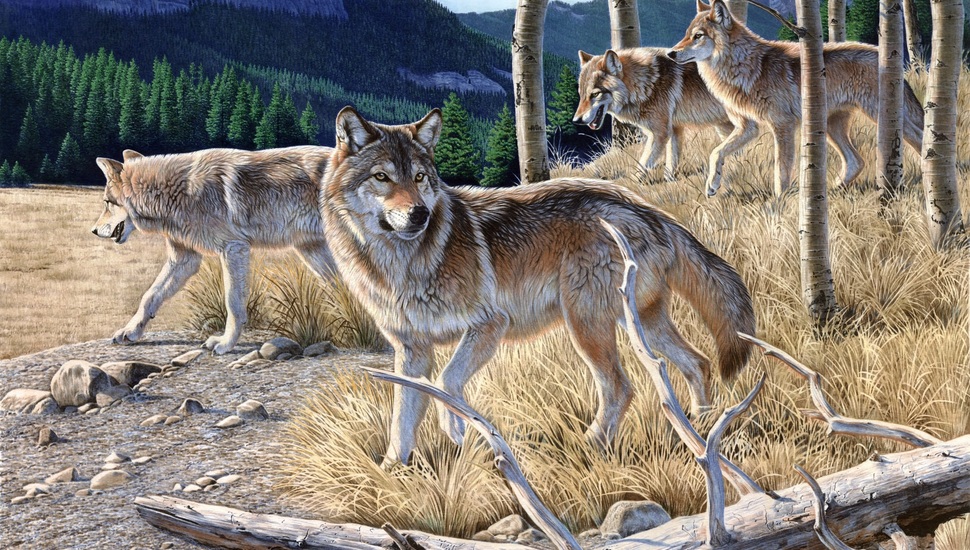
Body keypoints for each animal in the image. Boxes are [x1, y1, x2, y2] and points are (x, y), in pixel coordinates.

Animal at [91, 146, 335, 354]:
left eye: (106, 202)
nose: (93, 230)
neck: (180, 192)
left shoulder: (234, 249)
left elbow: (233, 303)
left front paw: (226, 344)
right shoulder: (184, 259)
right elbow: (150, 296)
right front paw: (131, 331)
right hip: (311, 251)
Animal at [321, 107, 756, 466]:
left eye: (419, 177)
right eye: (382, 177)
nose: (420, 214)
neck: (401, 264)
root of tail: (647, 208)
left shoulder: (489, 325)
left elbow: (446, 382)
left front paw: (456, 430)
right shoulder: (412, 351)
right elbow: (402, 419)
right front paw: (392, 469)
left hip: (587, 326)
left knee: (622, 387)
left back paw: (592, 445)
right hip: (641, 323)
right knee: (697, 362)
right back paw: (700, 431)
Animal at [573, 47, 737, 178]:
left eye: (595, 94)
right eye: (581, 95)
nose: (576, 120)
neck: (646, 83)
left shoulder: (660, 133)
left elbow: (642, 166)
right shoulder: (674, 130)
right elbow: (671, 163)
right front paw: (670, 182)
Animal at [668, 0, 924, 196]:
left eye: (698, 36)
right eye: (686, 35)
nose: (671, 53)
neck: (746, 67)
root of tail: (885, 56)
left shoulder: (783, 125)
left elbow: (781, 171)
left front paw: (778, 206)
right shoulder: (747, 127)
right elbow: (716, 152)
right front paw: (712, 185)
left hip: (883, 116)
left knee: (921, 140)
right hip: (831, 126)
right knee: (856, 161)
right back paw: (832, 190)